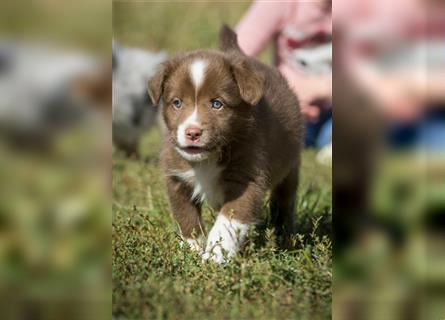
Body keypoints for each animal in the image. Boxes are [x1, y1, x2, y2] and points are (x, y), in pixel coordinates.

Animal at [147, 25, 304, 262]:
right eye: (177, 103)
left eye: (216, 104)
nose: (192, 132)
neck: (208, 158)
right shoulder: (177, 178)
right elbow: (186, 217)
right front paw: (192, 250)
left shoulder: (246, 178)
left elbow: (228, 222)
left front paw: (214, 257)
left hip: (290, 166)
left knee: (284, 202)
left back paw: (285, 239)